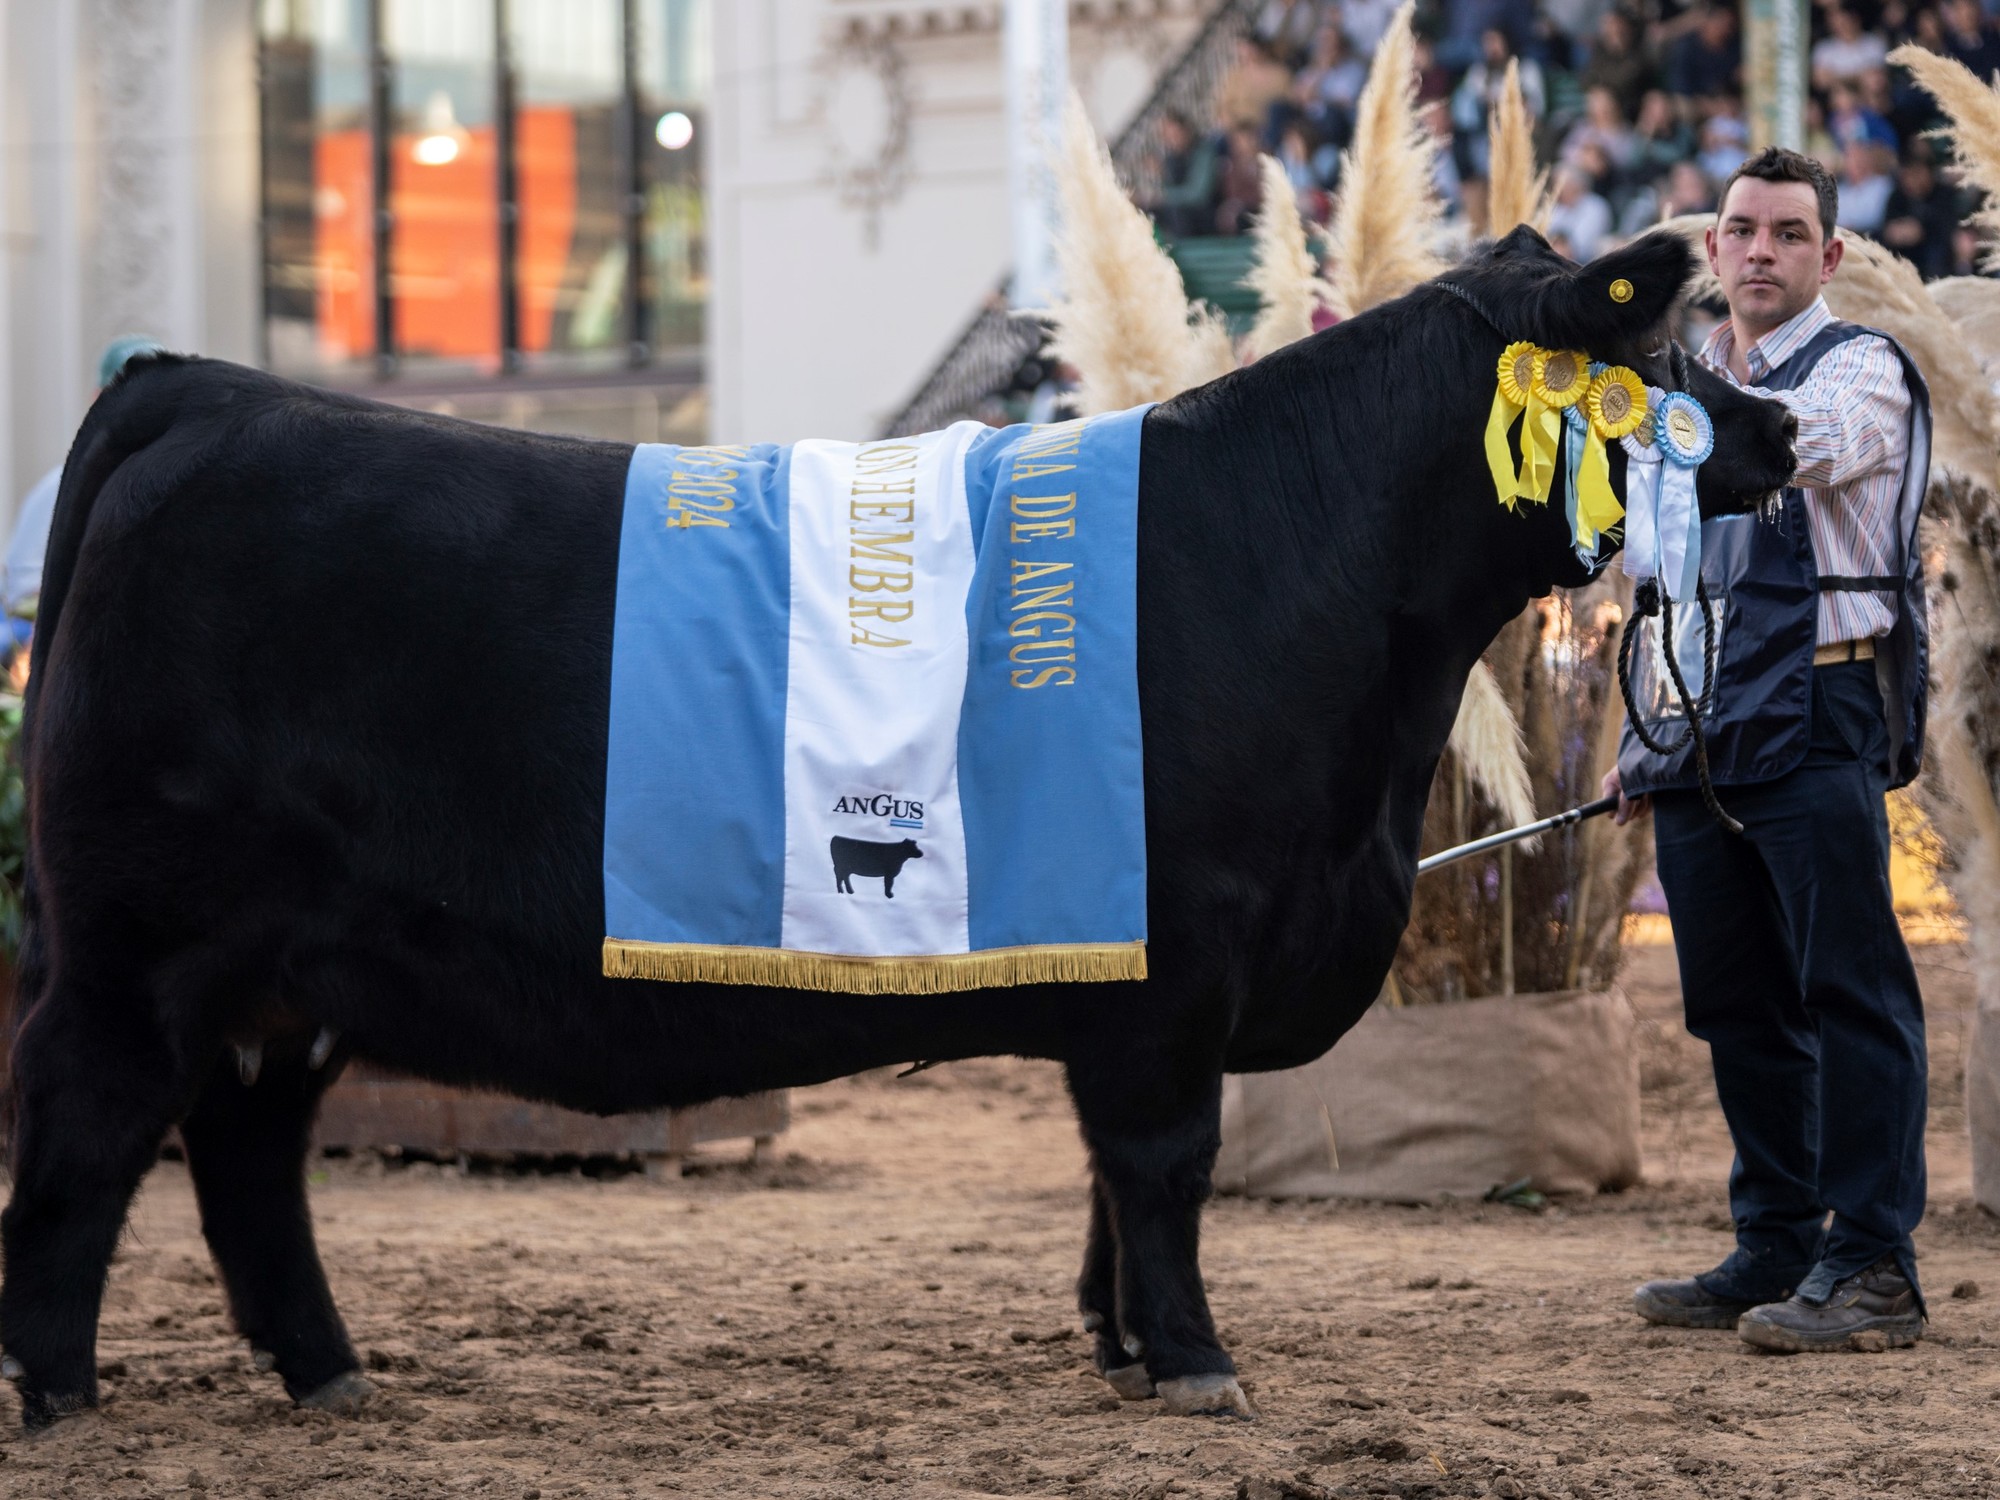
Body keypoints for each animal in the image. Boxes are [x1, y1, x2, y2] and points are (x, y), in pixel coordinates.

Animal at [0, 229, 1784, 1424]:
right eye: (1667, 359)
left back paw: (328, 1375)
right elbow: (1165, 1165)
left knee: (245, 1157)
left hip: (283, 981)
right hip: (138, 953)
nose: (1770, 434)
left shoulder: (1125, 961)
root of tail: (193, 393)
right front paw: (1199, 1367)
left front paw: (1123, 1349)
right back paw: (63, 1387)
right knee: (85, 1130)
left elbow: (1108, 1183)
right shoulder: (1181, 958)